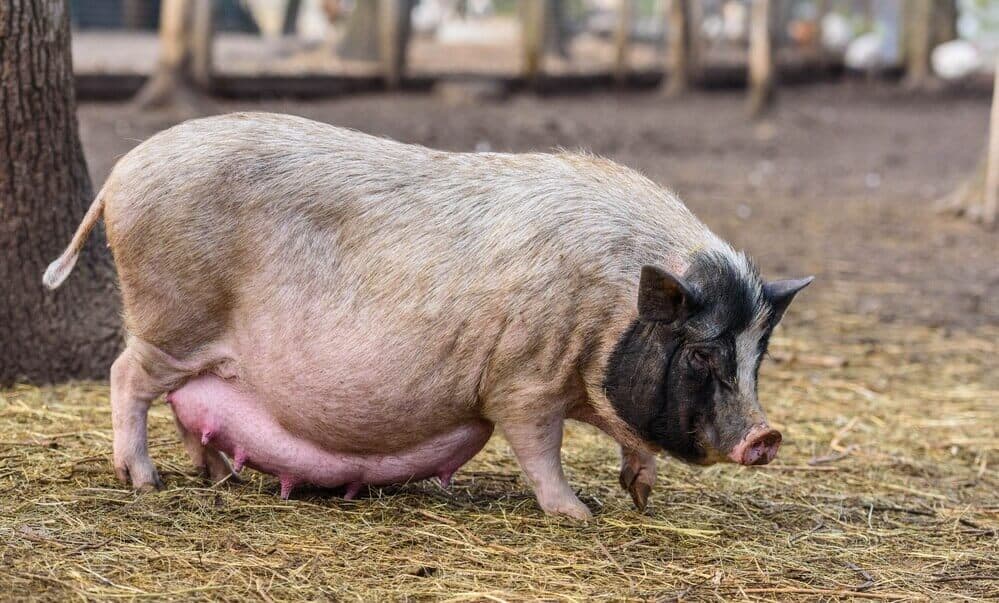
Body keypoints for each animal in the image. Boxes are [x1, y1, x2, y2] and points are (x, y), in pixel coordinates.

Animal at [44, 113, 811, 519]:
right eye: (703, 353)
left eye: (759, 354)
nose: (766, 435)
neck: (609, 305)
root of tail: (122, 172)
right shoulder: (523, 378)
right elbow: (539, 446)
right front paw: (580, 513)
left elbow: (631, 432)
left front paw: (640, 494)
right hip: (169, 315)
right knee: (125, 376)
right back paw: (144, 481)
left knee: (185, 402)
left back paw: (217, 478)